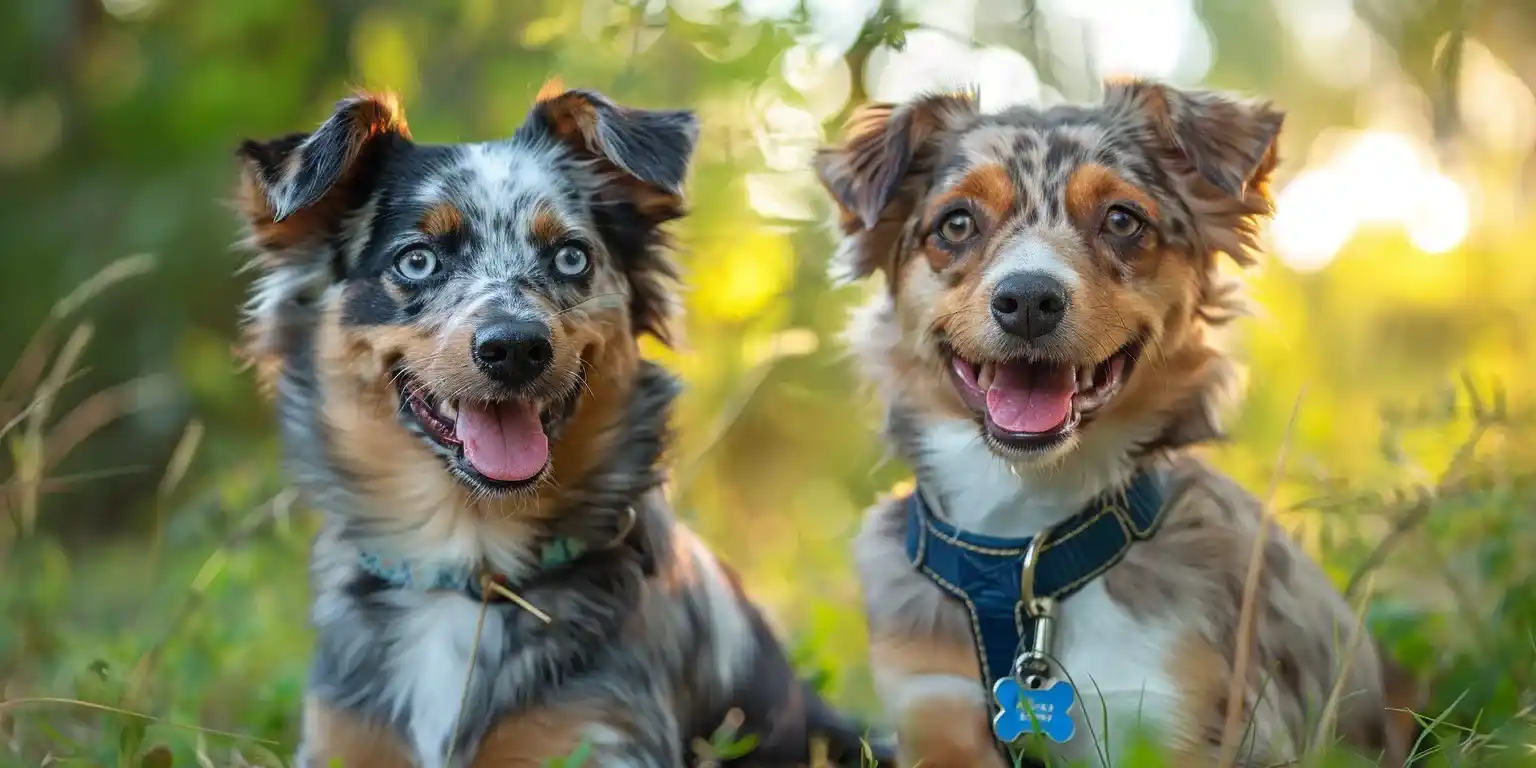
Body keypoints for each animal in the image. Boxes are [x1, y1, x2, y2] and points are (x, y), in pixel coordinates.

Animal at [233, 84, 897, 768]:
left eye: (571, 256)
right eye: (417, 260)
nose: (515, 348)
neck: (471, 567)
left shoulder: (600, 734)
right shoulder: (342, 736)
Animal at [823, 79, 1419, 768]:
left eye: (1121, 219)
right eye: (956, 223)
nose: (1028, 300)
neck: (1025, 546)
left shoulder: (1176, 713)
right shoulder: (934, 706)